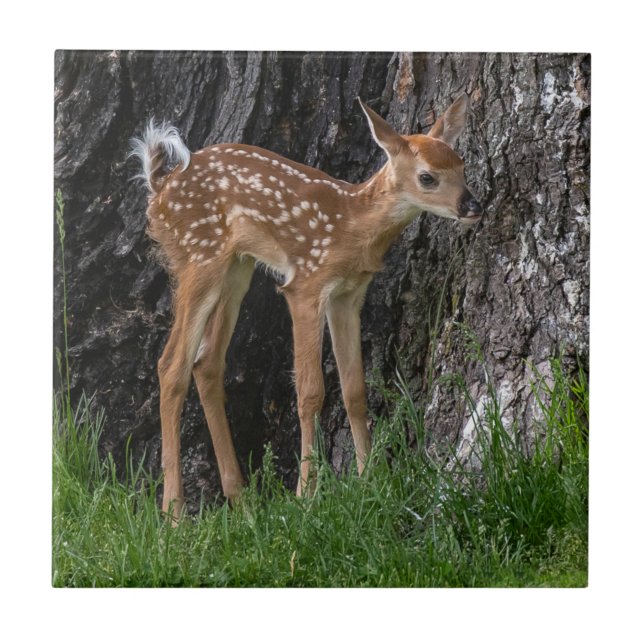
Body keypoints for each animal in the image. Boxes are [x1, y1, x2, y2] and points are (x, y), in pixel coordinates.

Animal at [129, 94, 483, 521]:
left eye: (461, 165)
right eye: (428, 177)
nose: (474, 206)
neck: (352, 225)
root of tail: (158, 187)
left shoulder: (348, 295)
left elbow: (354, 389)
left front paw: (370, 480)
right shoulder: (305, 286)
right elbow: (310, 392)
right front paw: (306, 497)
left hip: (237, 267)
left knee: (207, 363)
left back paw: (241, 500)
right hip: (199, 256)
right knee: (171, 366)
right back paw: (174, 515)